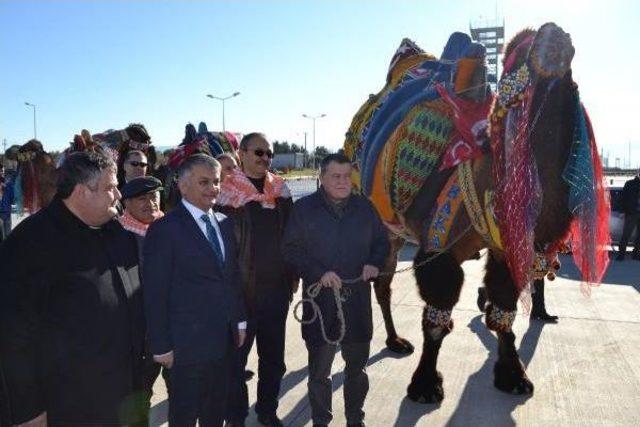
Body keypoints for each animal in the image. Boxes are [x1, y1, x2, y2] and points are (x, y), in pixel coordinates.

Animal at [344, 22, 608, 404]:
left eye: (571, 49)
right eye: (519, 55)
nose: (554, 35)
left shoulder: (504, 250)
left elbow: (502, 314)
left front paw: (513, 376)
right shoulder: (438, 246)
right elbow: (436, 319)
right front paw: (425, 385)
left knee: (381, 283)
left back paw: (393, 341)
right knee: (366, 279)